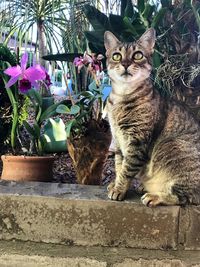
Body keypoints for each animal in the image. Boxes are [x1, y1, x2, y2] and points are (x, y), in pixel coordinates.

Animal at [104, 28, 200, 206]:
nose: (125, 64)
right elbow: (119, 166)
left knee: (187, 196)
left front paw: (119, 189)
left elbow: (127, 169)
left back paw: (155, 196)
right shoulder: (118, 140)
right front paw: (116, 183)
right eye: (116, 56)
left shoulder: (137, 141)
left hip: (170, 144)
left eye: (137, 55)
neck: (121, 96)